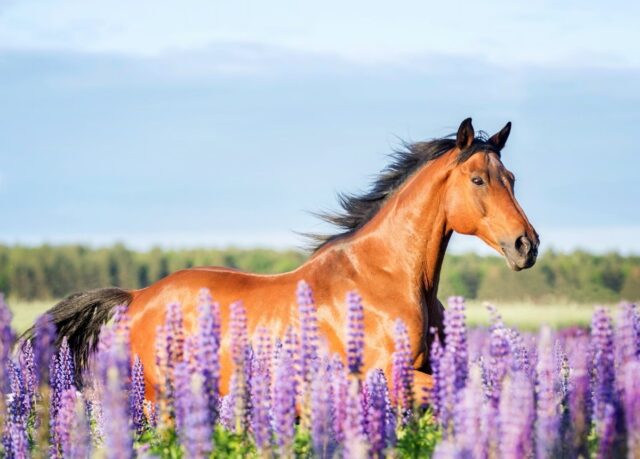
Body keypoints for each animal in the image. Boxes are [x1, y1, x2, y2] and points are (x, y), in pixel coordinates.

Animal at [30, 118, 540, 402]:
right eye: (477, 179)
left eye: (512, 178)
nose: (526, 245)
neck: (389, 278)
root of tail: (136, 297)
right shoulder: (389, 379)